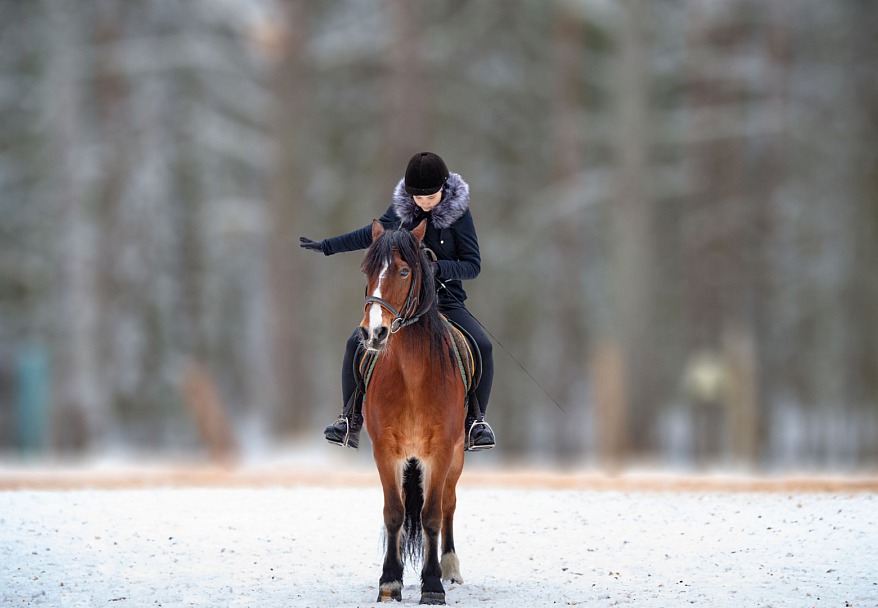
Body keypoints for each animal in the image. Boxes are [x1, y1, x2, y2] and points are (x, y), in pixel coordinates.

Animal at [358, 218, 468, 604]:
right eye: (367, 270)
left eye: (404, 271)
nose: (374, 332)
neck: (412, 374)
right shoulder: (385, 450)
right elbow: (394, 513)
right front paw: (390, 581)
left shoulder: (440, 450)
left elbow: (432, 515)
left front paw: (432, 584)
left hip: (455, 456)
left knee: (448, 504)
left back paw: (450, 567)